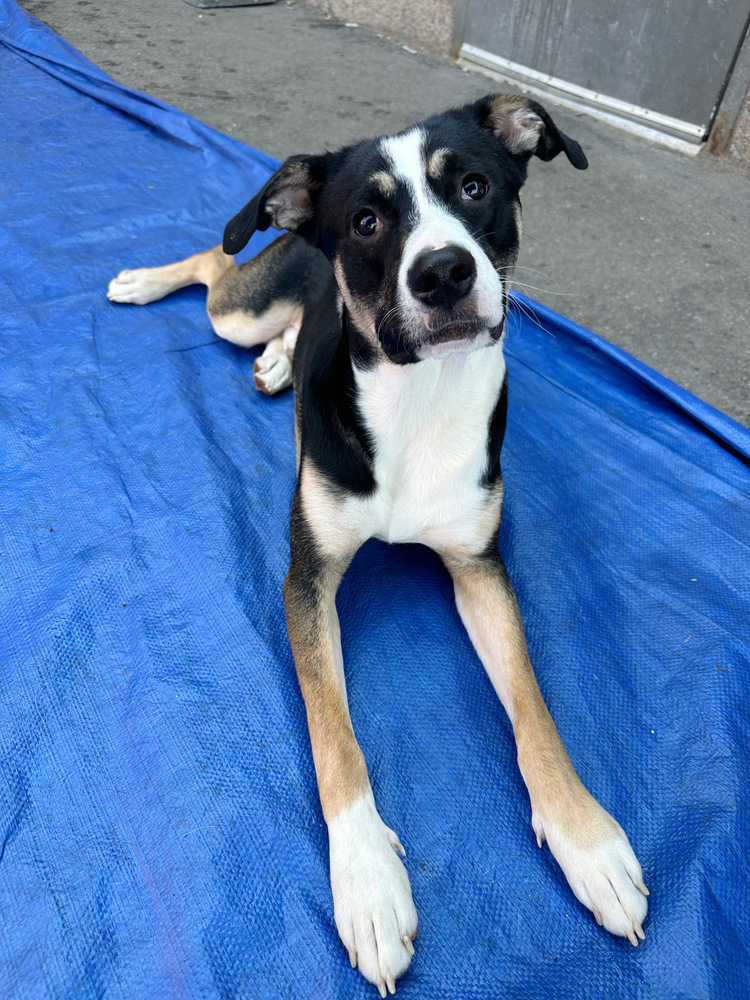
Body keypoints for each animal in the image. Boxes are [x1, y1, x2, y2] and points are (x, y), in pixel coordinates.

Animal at [107, 92, 652, 992]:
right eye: (366, 221)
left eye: (473, 186)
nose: (444, 274)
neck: (418, 397)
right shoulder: (307, 580)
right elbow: (335, 736)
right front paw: (367, 881)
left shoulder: (480, 567)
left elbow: (534, 708)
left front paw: (588, 841)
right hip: (238, 307)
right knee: (213, 265)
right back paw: (143, 282)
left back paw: (280, 360)